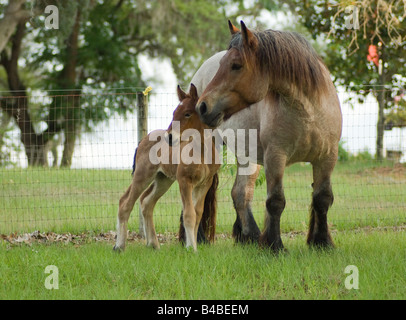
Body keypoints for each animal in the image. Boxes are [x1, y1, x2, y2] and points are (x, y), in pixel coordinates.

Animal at [195, 21, 340, 252]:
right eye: (223, 64)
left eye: (236, 65)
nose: (202, 106)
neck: (309, 111)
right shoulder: (275, 156)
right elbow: (276, 201)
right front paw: (274, 245)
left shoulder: (327, 158)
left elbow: (322, 198)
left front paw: (322, 243)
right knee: (199, 192)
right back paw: (197, 238)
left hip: (247, 158)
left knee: (240, 193)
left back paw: (250, 237)